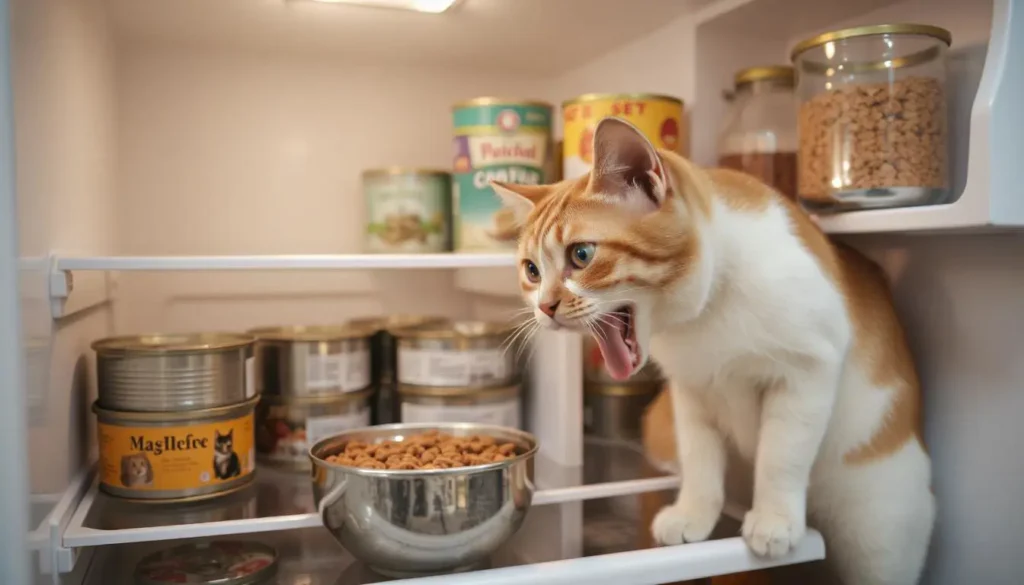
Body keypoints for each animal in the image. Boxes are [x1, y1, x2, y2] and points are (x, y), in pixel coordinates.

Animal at [495, 118, 937, 585]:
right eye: (531, 270)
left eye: (582, 255)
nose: (544, 307)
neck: (705, 317)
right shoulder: (691, 393)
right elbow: (701, 461)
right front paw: (694, 515)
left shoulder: (806, 374)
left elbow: (781, 456)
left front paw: (775, 520)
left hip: (880, 532)